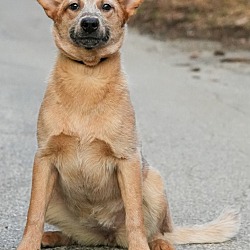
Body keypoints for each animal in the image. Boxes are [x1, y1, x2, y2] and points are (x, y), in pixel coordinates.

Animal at [17, 0, 240, 250]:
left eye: (107, 6)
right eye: (73, 6)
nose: (90, 23)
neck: (87, 77)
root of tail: (106, 234)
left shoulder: (128, 160)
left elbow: (135, 218)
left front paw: (140, 245)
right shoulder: (44, 159)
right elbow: (34, 213)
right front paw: (28, 244)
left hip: (154, 182)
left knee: (156, 231)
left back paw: (160, 243)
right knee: (71, 234)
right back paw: (51, 236)